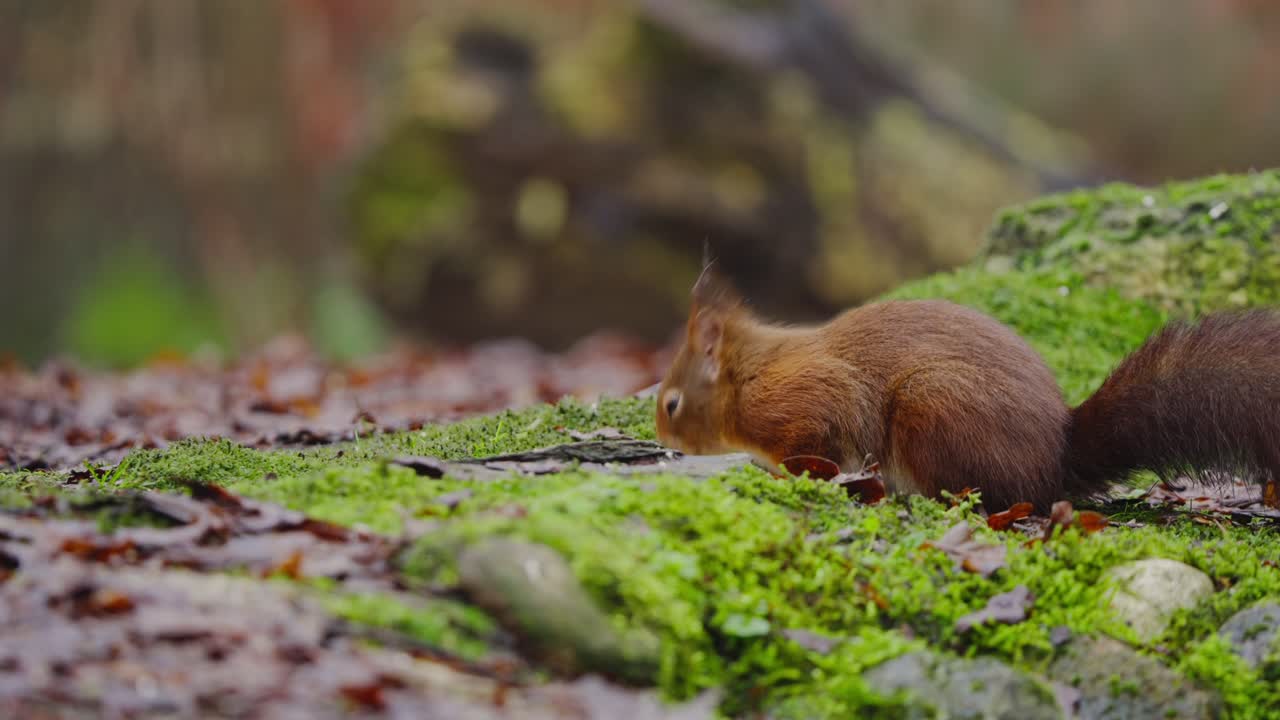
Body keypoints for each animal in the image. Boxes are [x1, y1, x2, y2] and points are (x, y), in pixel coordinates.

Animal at [655, 264, 1280, 512]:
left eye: (671, 403)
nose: (663, 439)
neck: (747, 378)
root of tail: (1055, 460)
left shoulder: (803, 400)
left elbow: (816, 441)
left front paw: (788, 476)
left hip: (933, 407)